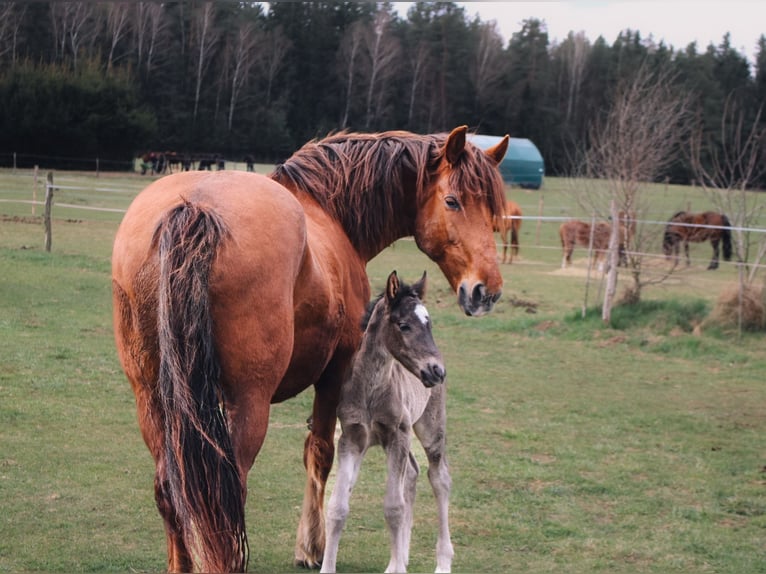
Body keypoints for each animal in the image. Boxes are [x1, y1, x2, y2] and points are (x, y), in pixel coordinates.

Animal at [321, 271, 452, 574]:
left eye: (429, 323)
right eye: (403, 325)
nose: (437, 371)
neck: (371, 390)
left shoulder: (397, 434)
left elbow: (394, 507)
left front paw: (397, 568)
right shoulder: (352, 438)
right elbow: (337, 507)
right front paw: (326, 567)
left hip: (430, 429)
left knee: (439, 478)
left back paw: (442, 563)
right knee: (413, 473)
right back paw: (401, 557)